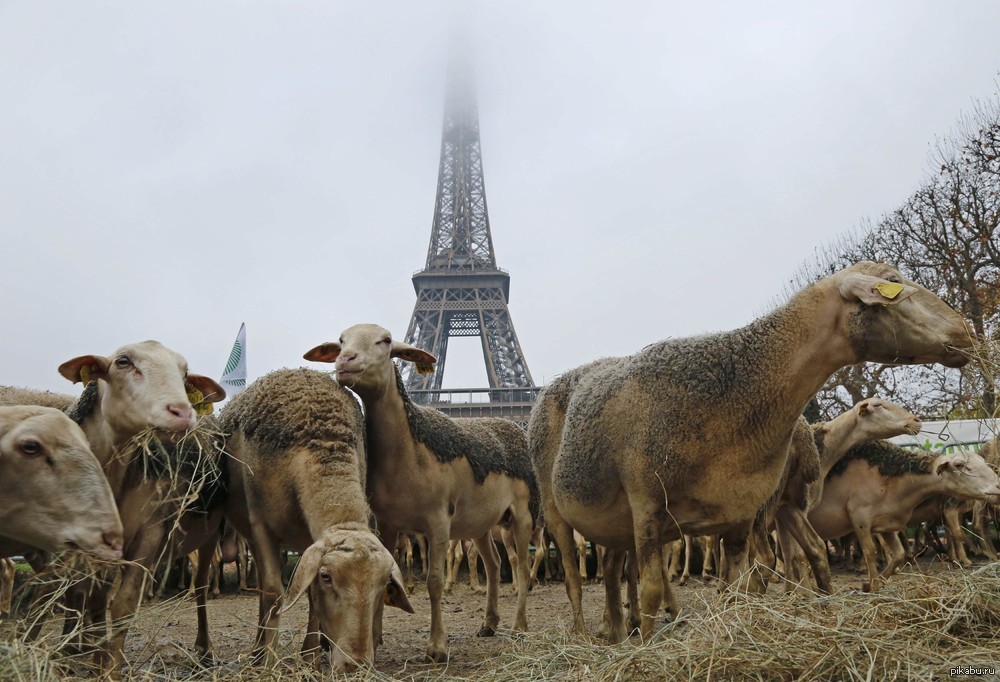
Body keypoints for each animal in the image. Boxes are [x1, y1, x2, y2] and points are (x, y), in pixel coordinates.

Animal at [220, 366, 414, 668]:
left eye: (384, 584)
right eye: (327, 576)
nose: (356, 664)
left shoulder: (310, 538)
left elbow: (310, 594)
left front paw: (310, 656)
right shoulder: (261, 526)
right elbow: (274, 593)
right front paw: (270, 660)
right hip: (250, 533)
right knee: (264, 587)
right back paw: (258, 651)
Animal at [304, 324, 540, 664]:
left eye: (386, 341)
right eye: (341, 341)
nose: (346, 360)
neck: (410, 450)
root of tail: (509, 424)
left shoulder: (438, 521)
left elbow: (435, 582)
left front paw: (437, 646)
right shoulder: (388, 524)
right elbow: (387, 574)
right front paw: (375, 639)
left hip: (522, 515)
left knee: (520, 566)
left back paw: (519, 625)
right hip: (480, 523)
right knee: (494, 564)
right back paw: (489, 623)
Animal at [532, 260, 976, 636]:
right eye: (893, 283)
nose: (966, 331)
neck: (734, 395)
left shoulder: (741, 514)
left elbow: (738, 584)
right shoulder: (648, 507)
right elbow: (652, 590)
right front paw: (643, 651)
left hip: (613, 522)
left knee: (610, 570)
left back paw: (615, 630)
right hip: (558, 510)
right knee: (574, 578)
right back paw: (585, 633)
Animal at [812, 440, 1000, 588]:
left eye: (983, 462)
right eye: (959, 465)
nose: (998, 486)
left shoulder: (886, 522)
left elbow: (899, 553)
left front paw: (877, 581)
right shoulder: (860, 518)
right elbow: (870, 552)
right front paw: (873, 584)